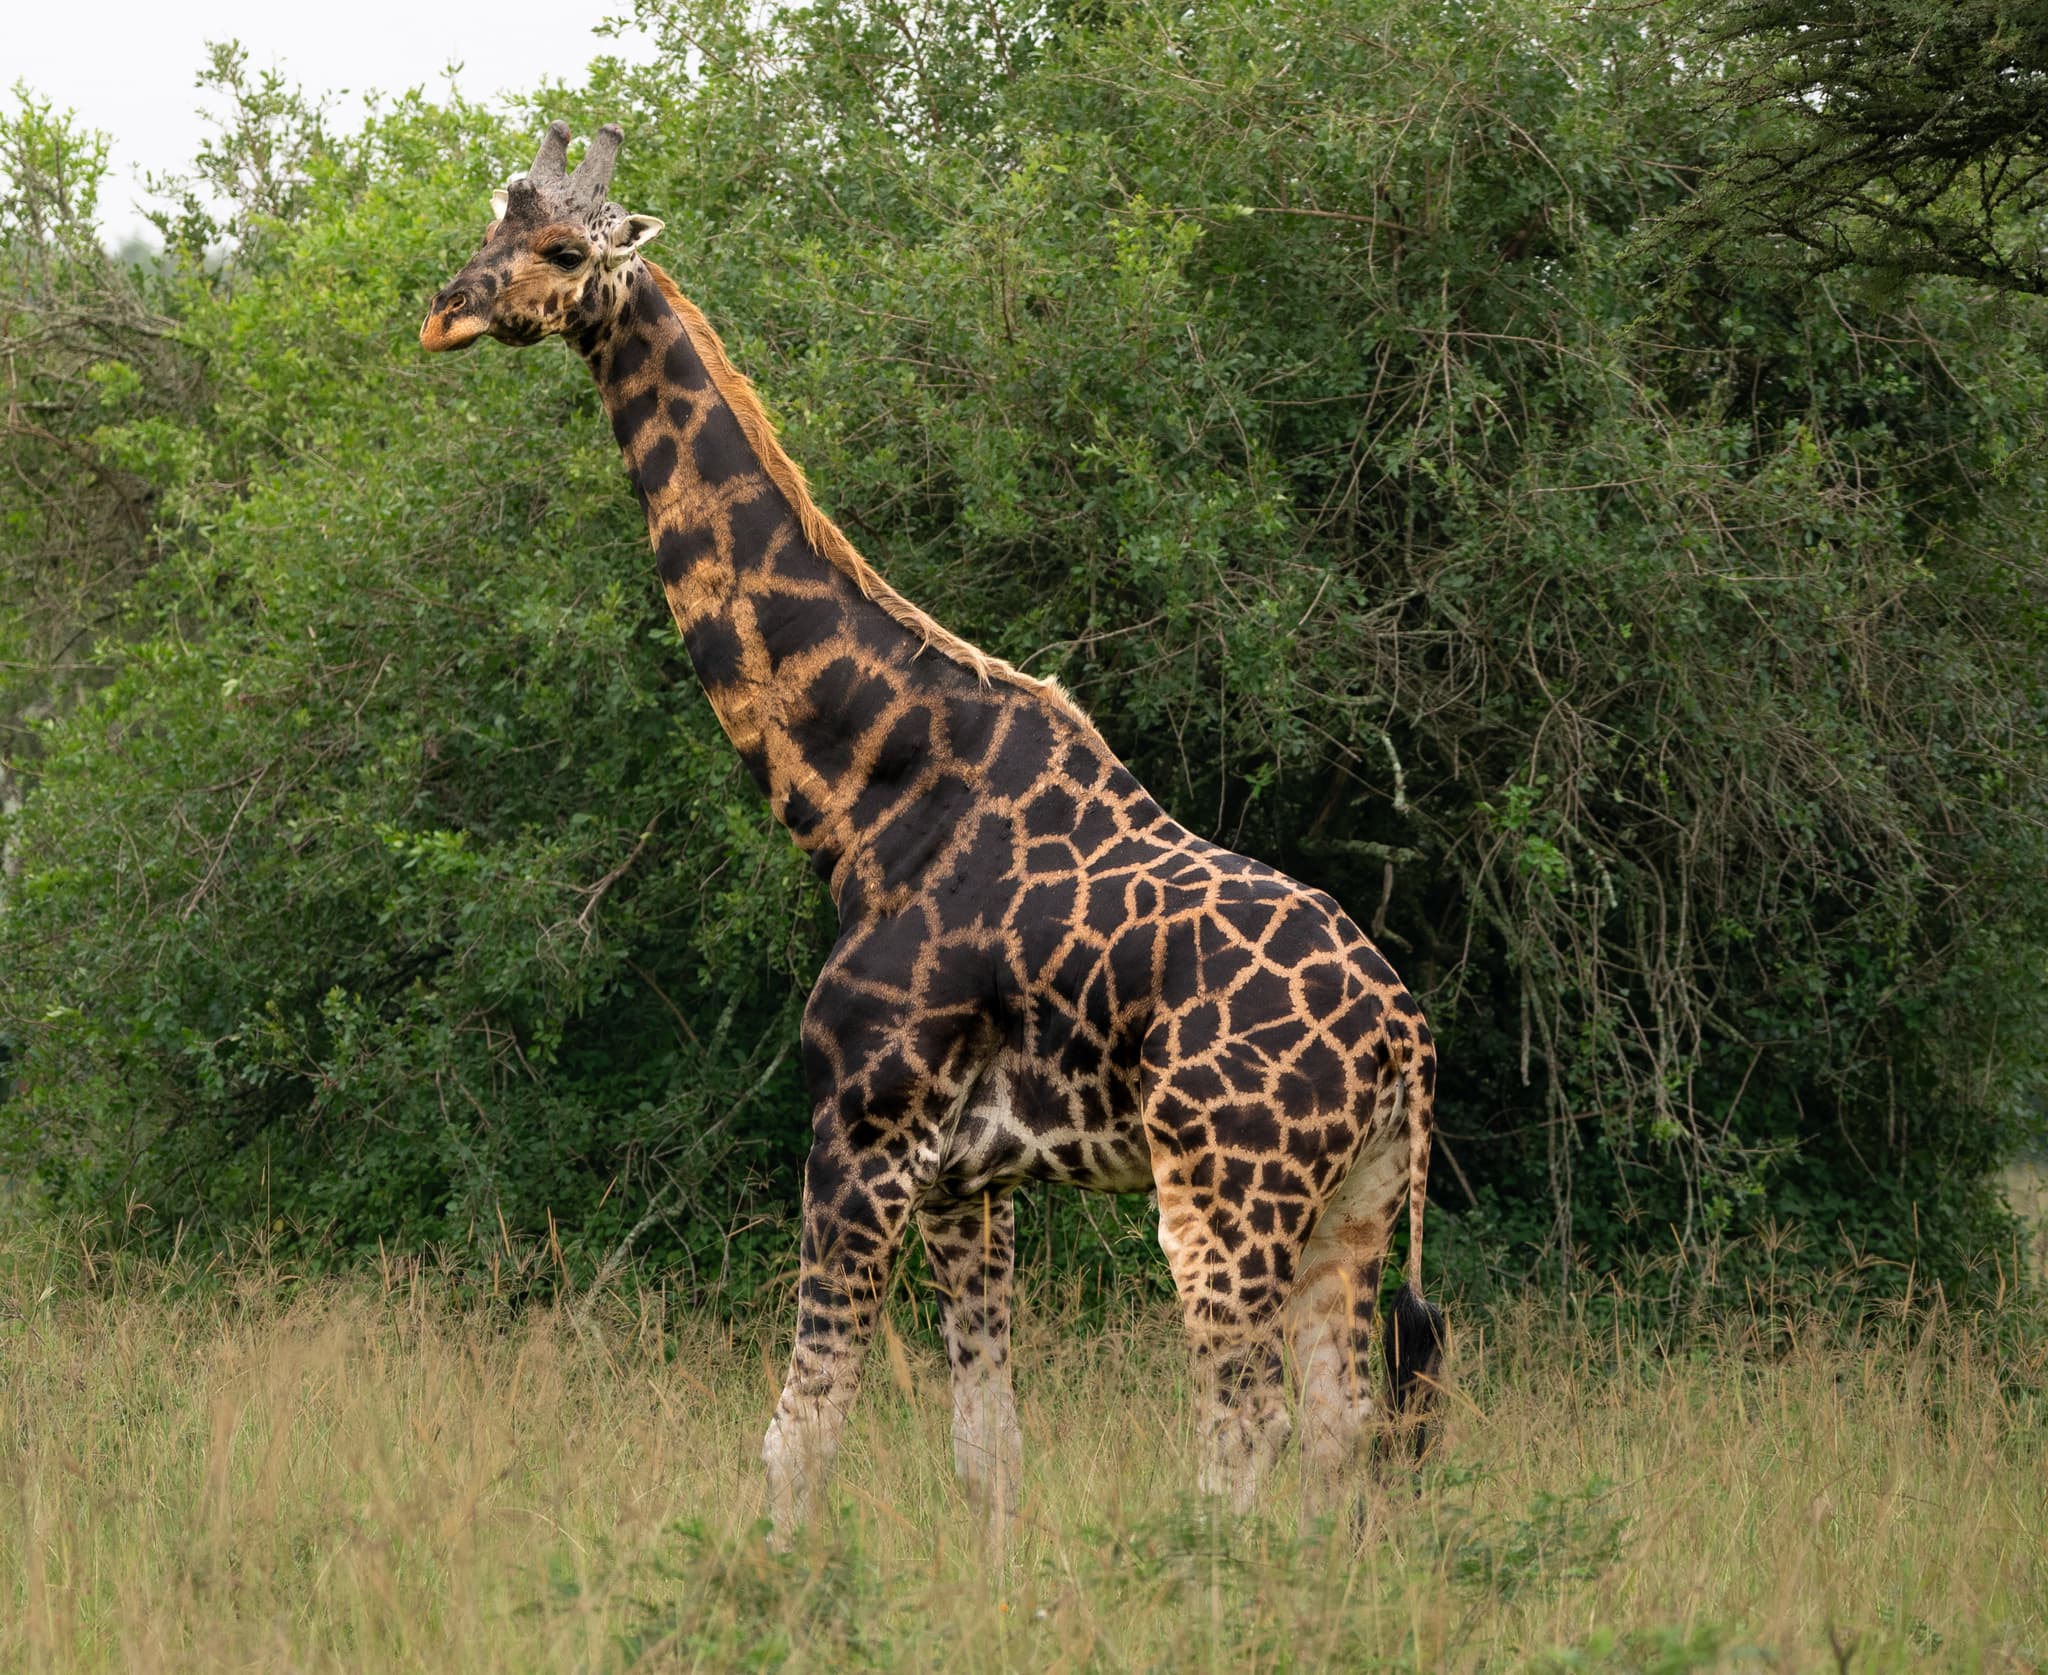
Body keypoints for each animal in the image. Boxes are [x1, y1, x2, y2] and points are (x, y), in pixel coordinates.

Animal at [420, 121, 1446, 1542]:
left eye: (567, 250)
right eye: (491, 224)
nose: (444, 313)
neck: (862, 800)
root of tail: (1404, 1036)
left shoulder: (857, 1132)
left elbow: (799, 1434)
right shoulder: (974, 1180)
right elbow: (985, 1447)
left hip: (1223, 1194)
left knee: (1246, 1426)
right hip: (1353, 1205)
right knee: (1344, 1432)